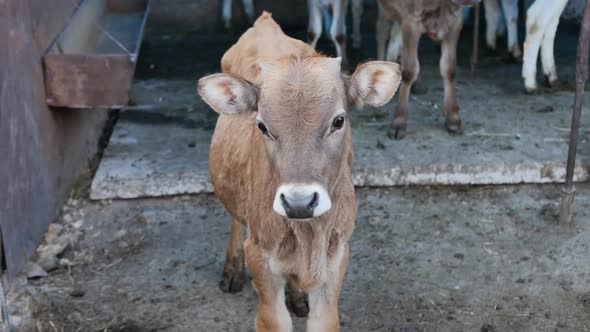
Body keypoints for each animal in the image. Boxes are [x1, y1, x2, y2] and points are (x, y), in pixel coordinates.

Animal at [199, 12, 402, 332]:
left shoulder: (337, 256)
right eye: (262, 125)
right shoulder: (261, 259)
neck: (309, 235)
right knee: (234, 217)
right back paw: (232, 270)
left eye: (339, 120)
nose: (299, 202)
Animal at [380, 0, 480, 138]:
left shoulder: (455, 21)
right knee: (382, 32)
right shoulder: (411, 21)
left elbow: (449, 69)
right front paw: (399, 122)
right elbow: (409, 71)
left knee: (394, 42)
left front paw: (453, 120)